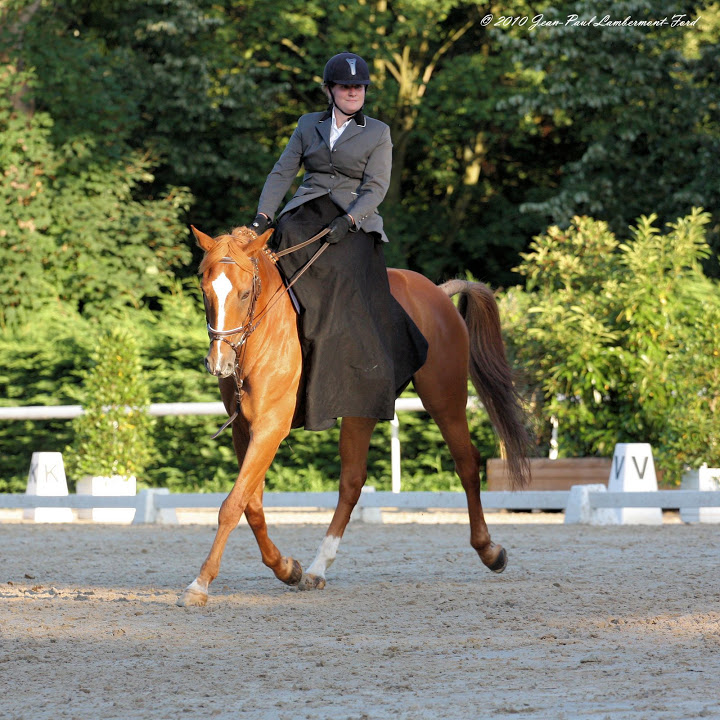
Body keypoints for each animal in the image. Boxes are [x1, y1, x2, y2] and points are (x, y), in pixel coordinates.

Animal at [177, 226, 532, 608]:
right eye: (205, 291)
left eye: (244, 294)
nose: (219, 363)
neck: (264, 336)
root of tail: (436, 292)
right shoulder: (244, 430)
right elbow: (250, 504)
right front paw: (287, 568)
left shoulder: (271, 427)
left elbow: (232, 504)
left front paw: (200, 584)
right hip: (361, 409)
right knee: (353, 479)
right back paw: (314, 569)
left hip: (443, 399)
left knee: (463, 462)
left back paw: (489, 551)